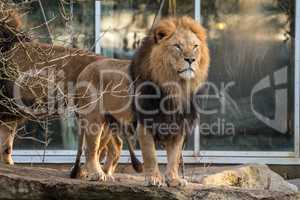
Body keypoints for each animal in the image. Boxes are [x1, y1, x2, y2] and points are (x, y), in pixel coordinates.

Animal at [71, 15, 210, 186]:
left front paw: (174, 180)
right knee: (91, 148)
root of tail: (83, 72)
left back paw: (104, 174)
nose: (191, 59)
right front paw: (154, 179)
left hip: (109, 123)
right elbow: (151, 155)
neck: (175, 85)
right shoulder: (145, 122)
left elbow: (174, 157)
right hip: (94, 120)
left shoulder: (178, 124)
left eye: (195, 46)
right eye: (177, 46)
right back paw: (96, 174)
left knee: (112, 147)